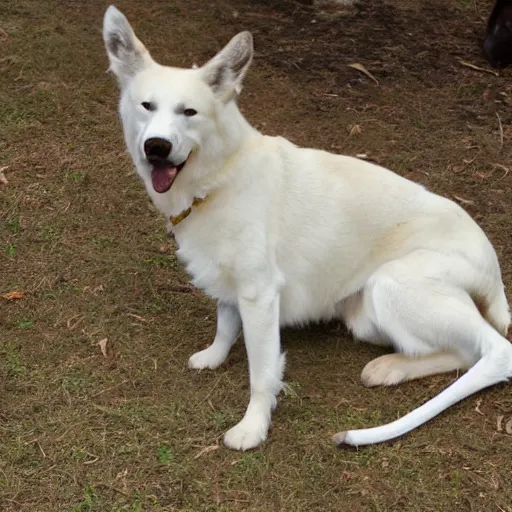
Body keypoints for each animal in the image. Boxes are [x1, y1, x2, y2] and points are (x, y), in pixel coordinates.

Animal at [104, 6, 512, 450]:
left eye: (188, 112)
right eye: (147, 106)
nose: (156, 147)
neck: (218, 176)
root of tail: (494, 270)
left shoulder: (260, 294)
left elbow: (262, 373)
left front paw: (254, 426)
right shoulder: (233, 282)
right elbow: (225, 322)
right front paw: (215, 355)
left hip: (391, 285)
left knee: (495, 352)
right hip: (364, 314)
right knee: (464, 352)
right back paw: (392, 367)